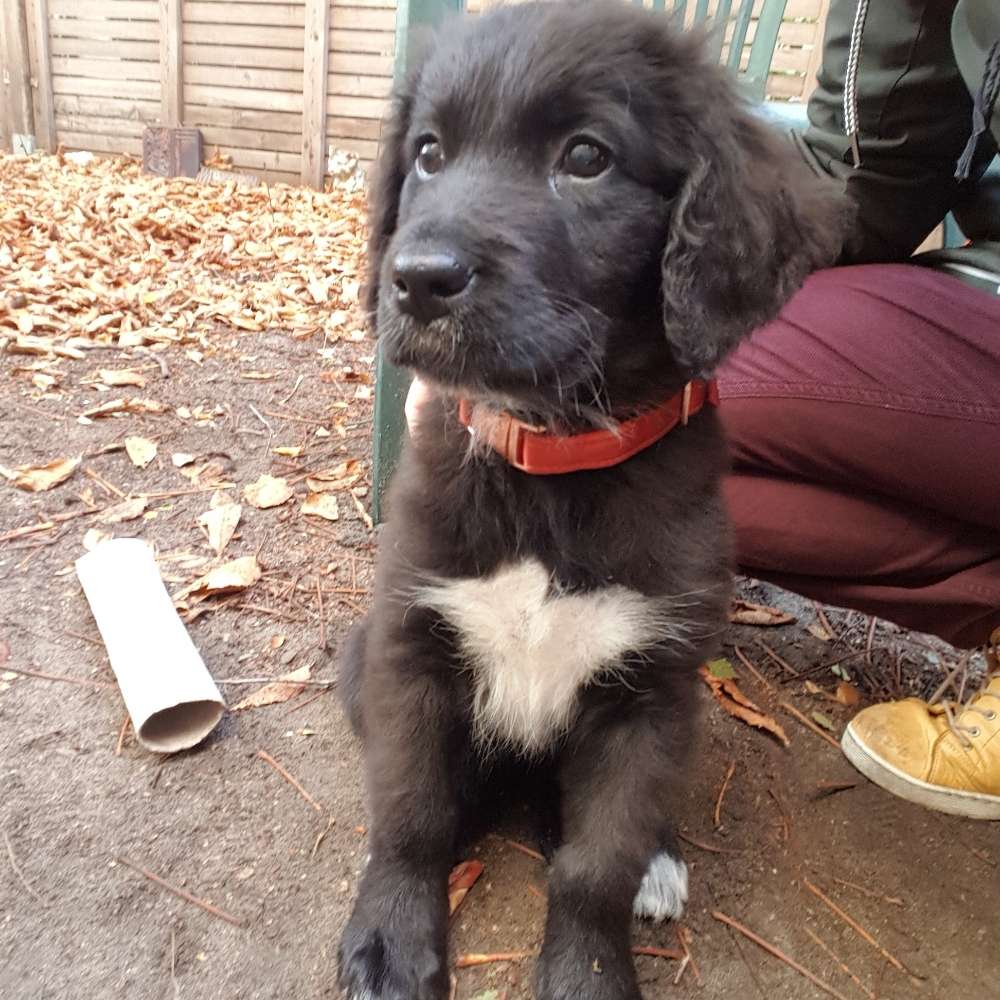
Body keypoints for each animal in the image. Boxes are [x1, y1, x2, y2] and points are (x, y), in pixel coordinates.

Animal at [340, 3, 848, 996]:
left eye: (586, 157)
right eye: (427, 154)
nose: (415, 279)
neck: (552, 462)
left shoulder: (649, 696)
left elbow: (595, 865)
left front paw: (590, 969)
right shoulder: (412, 640)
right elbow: (410, 810)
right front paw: (390, 934)